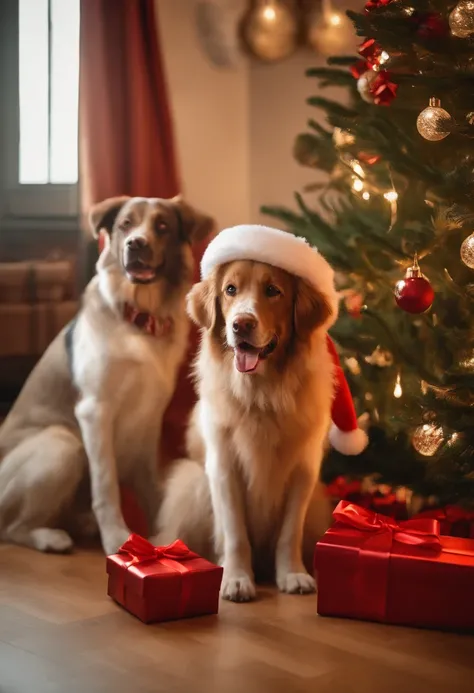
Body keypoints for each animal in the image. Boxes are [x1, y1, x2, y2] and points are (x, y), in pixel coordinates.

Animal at [157, 226, 358, 600]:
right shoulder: (224, 469)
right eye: (230, 290)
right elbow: (236, 534)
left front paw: (292, 574)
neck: (263, 394)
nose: (241, 324)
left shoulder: (304, 473)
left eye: (273, 291)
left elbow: (289, 533)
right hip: (192, 485)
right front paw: (236, 578)